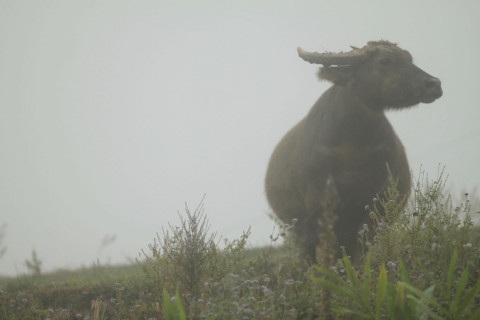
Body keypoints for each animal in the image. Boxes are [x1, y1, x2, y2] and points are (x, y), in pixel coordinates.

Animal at [266, 40, 442, 262]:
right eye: (385, 61)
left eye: (409, 59)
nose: (434, 84)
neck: (353, 148)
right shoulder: (322, 208)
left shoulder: (376, 206)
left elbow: (361, 251)